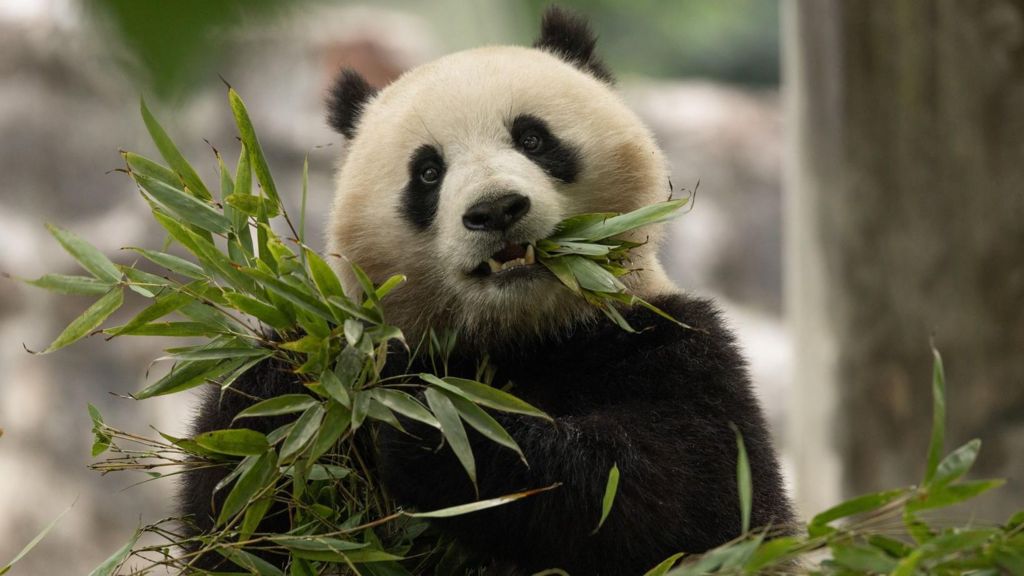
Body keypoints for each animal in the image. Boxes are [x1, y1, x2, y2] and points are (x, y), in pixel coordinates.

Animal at [180, 6, 794, 569]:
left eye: (533, 138)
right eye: (428, 172)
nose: (496, 209)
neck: (519, 333)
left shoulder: (670, 342)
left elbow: (683, 491)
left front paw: (430, 427)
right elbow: (236, 518)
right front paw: (291, 387)